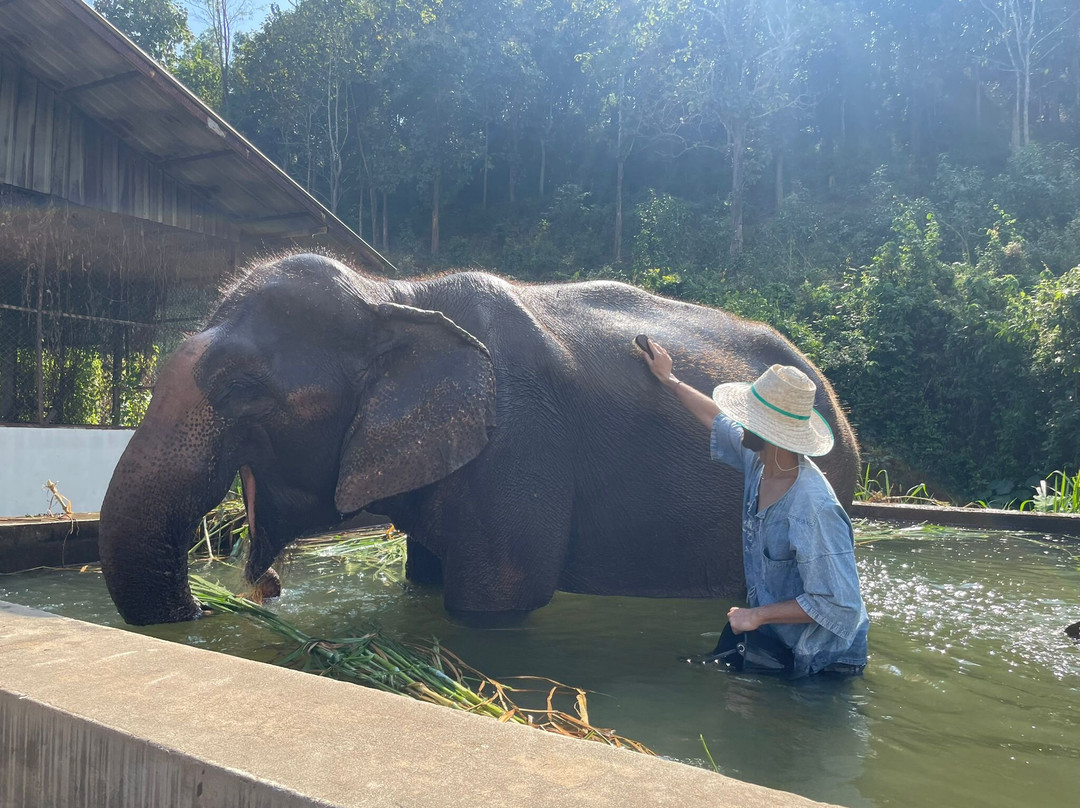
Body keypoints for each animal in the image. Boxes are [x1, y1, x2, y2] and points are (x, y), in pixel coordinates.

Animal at [98, 253, 860, 626]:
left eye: (240, 389)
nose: (203, 608)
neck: (396, 293)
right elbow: (427, 577)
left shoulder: (520, 448)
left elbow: (495, 603)